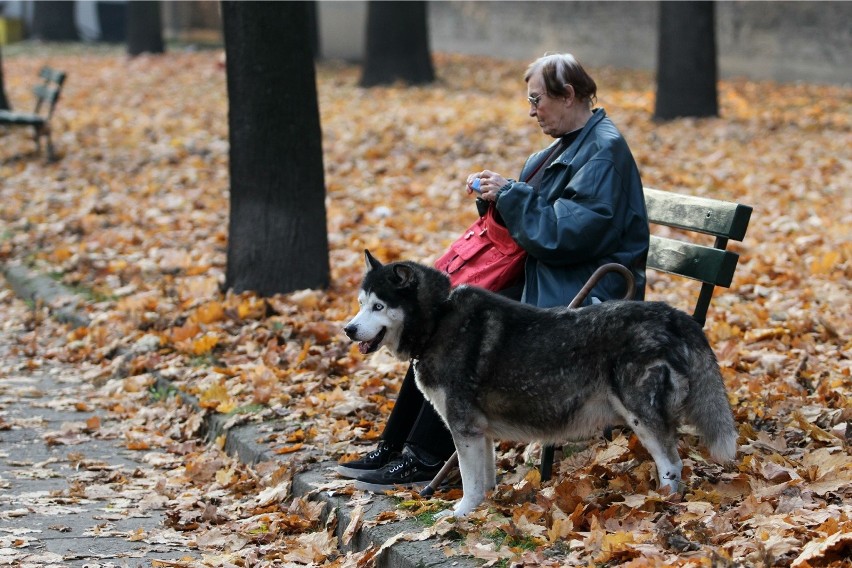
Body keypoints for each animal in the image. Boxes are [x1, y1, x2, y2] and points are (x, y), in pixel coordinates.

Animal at [342, 251, 736, 516]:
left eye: (379, 307)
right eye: (360, 304)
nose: (348, 329)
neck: (438, 319)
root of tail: (674, 315)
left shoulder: (463, 427)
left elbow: (468, 480)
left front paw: (460, 513)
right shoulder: (480, 431)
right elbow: (485, 479)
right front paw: (485, 509)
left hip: (642, 415)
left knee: (673, 464)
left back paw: (662, 503)